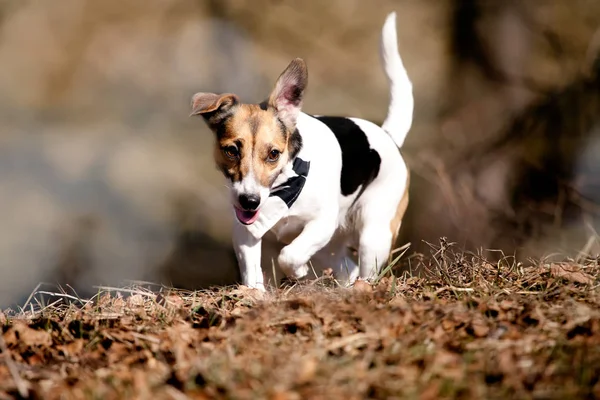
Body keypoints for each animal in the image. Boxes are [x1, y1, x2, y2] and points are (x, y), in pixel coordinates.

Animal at [191, 10, 412, 290]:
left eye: (273, 154)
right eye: (231, 150)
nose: (250, 201)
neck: (283, 187)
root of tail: (388, 136)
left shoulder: (322, 224)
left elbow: (290, 255)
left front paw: (298, 272)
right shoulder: (245, 231)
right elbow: (252, 270)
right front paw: (255, 292)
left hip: (374, 235)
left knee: (363, 268)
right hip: (334, 248)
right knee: (347, 268)